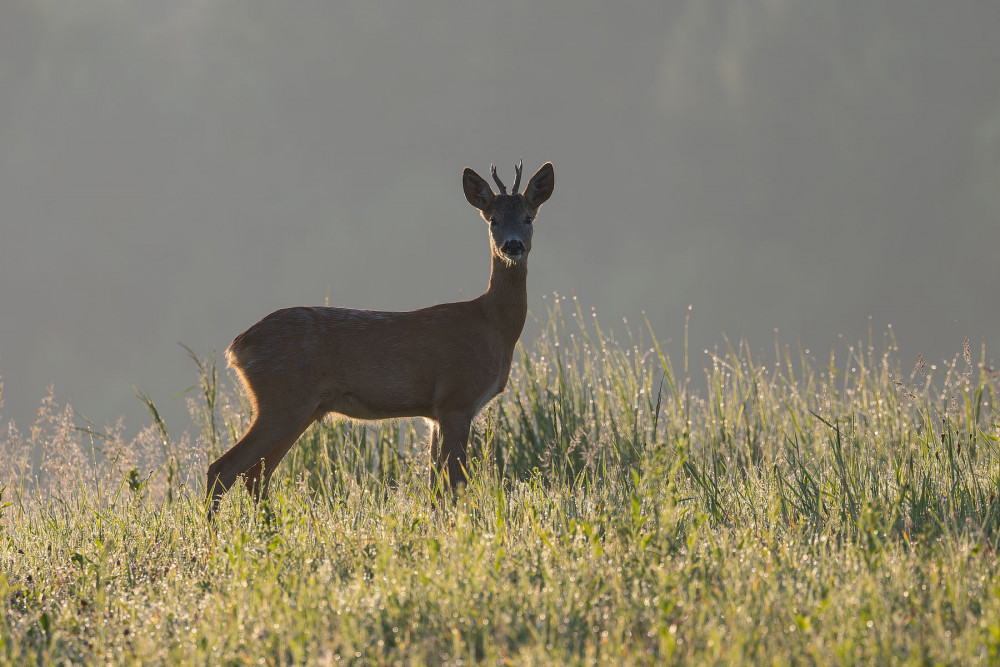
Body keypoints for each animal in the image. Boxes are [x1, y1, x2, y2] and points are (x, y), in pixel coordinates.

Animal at [209, 159, 556, 516]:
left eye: (529, 217)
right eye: (493, 220)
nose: (512, 246)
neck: (493, 326)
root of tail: (238, 347)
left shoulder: (435, 411)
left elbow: (436, 486)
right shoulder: (457, 398)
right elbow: (455, 484)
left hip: (301, 408)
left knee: (255, 475)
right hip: (282, 398)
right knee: (225, 467)